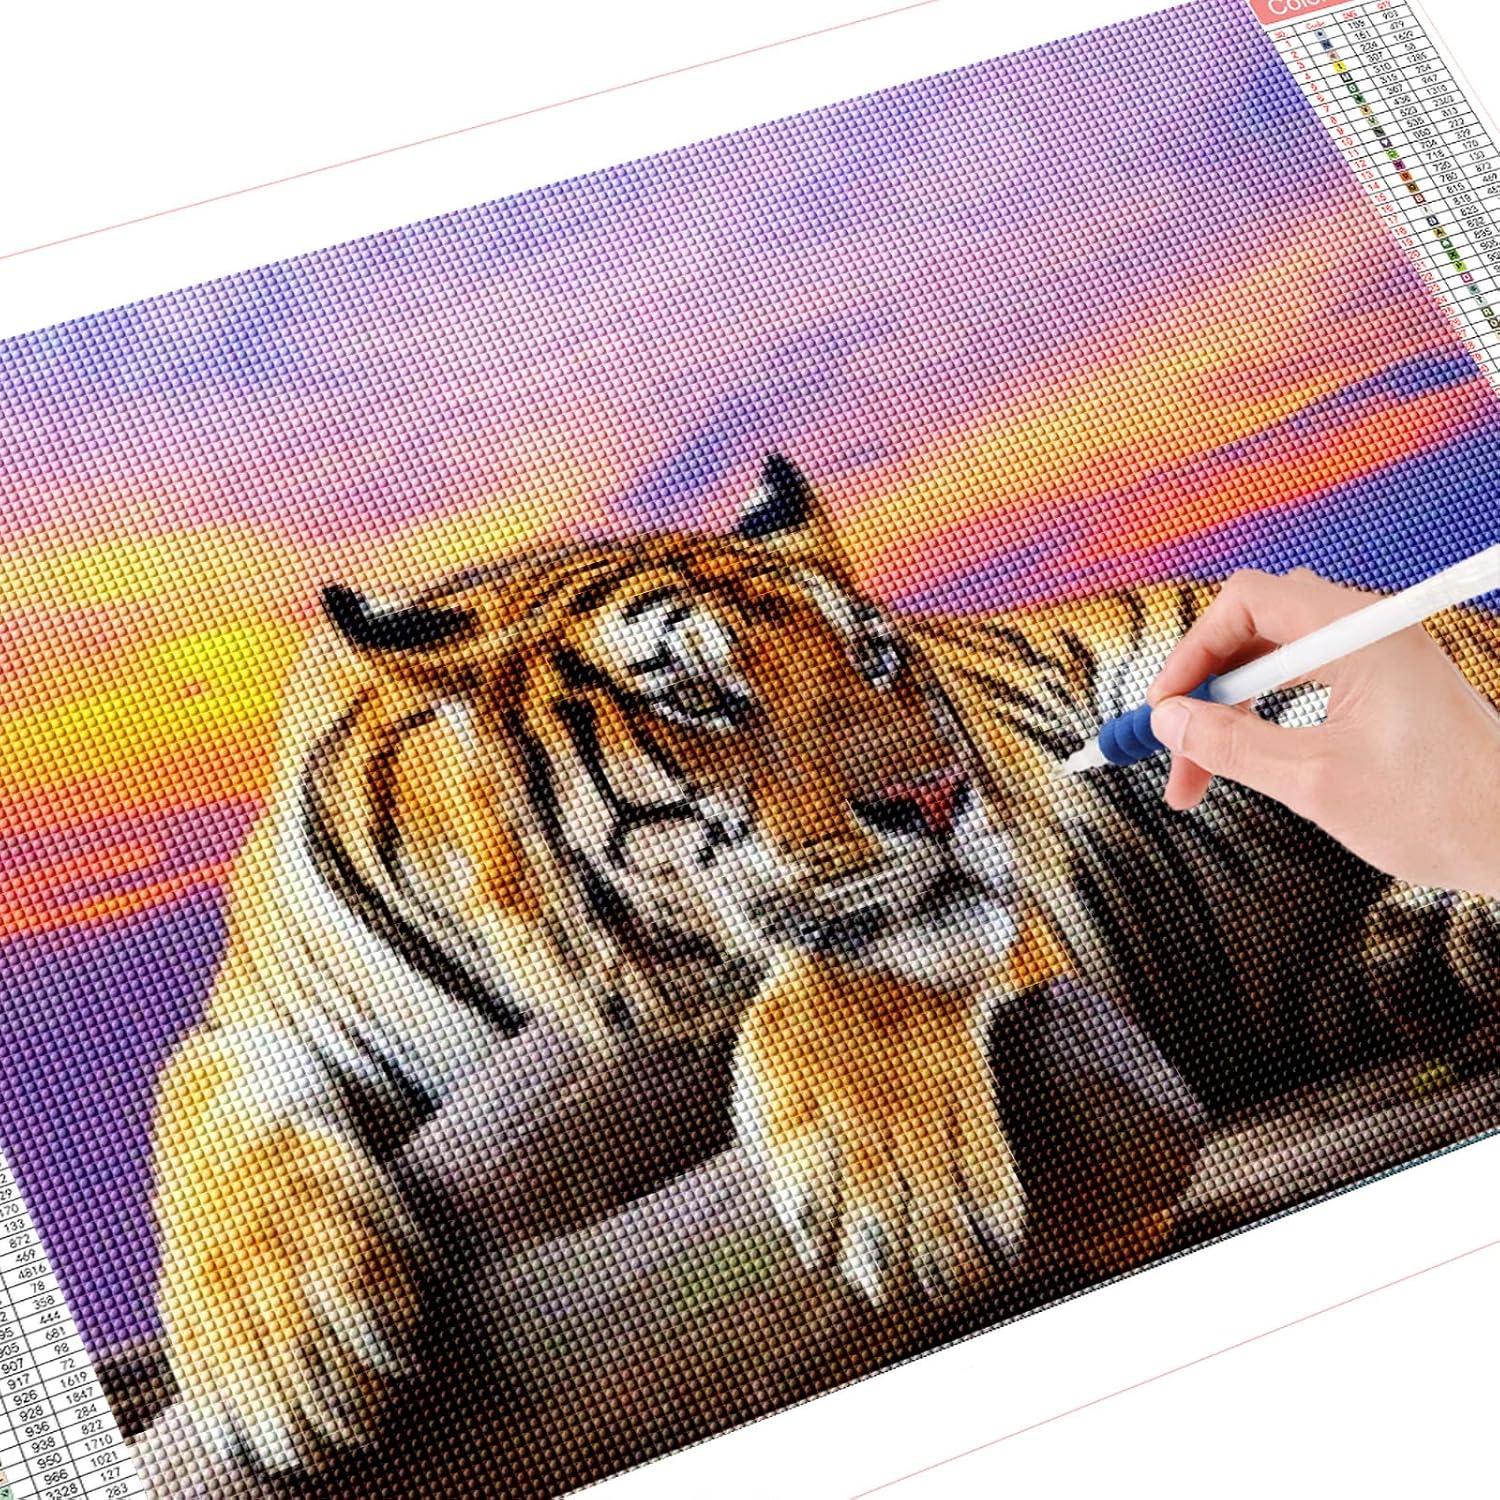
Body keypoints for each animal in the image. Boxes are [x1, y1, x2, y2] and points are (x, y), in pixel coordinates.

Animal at [148, 452, 1499, 1477]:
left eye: (877, 661)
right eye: (698, 701)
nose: (944, 794)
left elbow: (876, 963)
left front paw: (898, 1204)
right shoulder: (260, 1022)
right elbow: (208, 1136)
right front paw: (288, 1364)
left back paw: (1451, 931)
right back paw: (1419, 963)